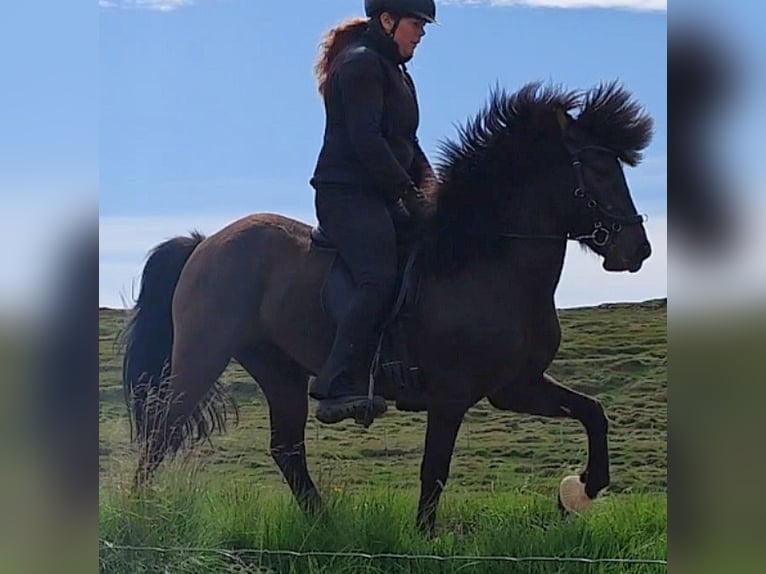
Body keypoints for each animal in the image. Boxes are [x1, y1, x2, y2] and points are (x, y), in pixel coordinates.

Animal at [121, 80, 654, 533]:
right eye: (600, 169)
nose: (639, 250)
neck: (486, 260)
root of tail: (205, 242)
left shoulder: (515, 386)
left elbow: (593, 413)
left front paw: (578, 492)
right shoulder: (452, 395)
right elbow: (434, 469)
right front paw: (425, 539)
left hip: (278, 368)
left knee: (286, 449)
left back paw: (326, 526)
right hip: (203, 355)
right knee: (161, 430)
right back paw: (140, 516)